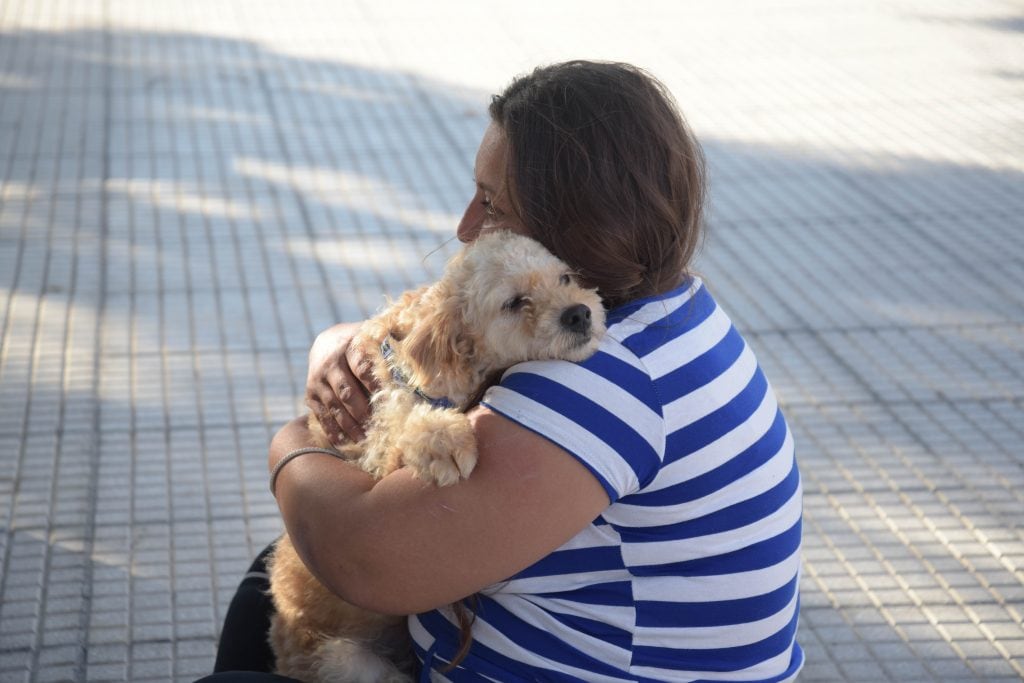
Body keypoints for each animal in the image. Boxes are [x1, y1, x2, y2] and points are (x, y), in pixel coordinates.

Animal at [270, 231, 606, 683]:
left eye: (566, 277)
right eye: (515, 302)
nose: (580, 314)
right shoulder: (377, 452)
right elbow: (404, 430)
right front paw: (442, 440)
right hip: (345, 659)